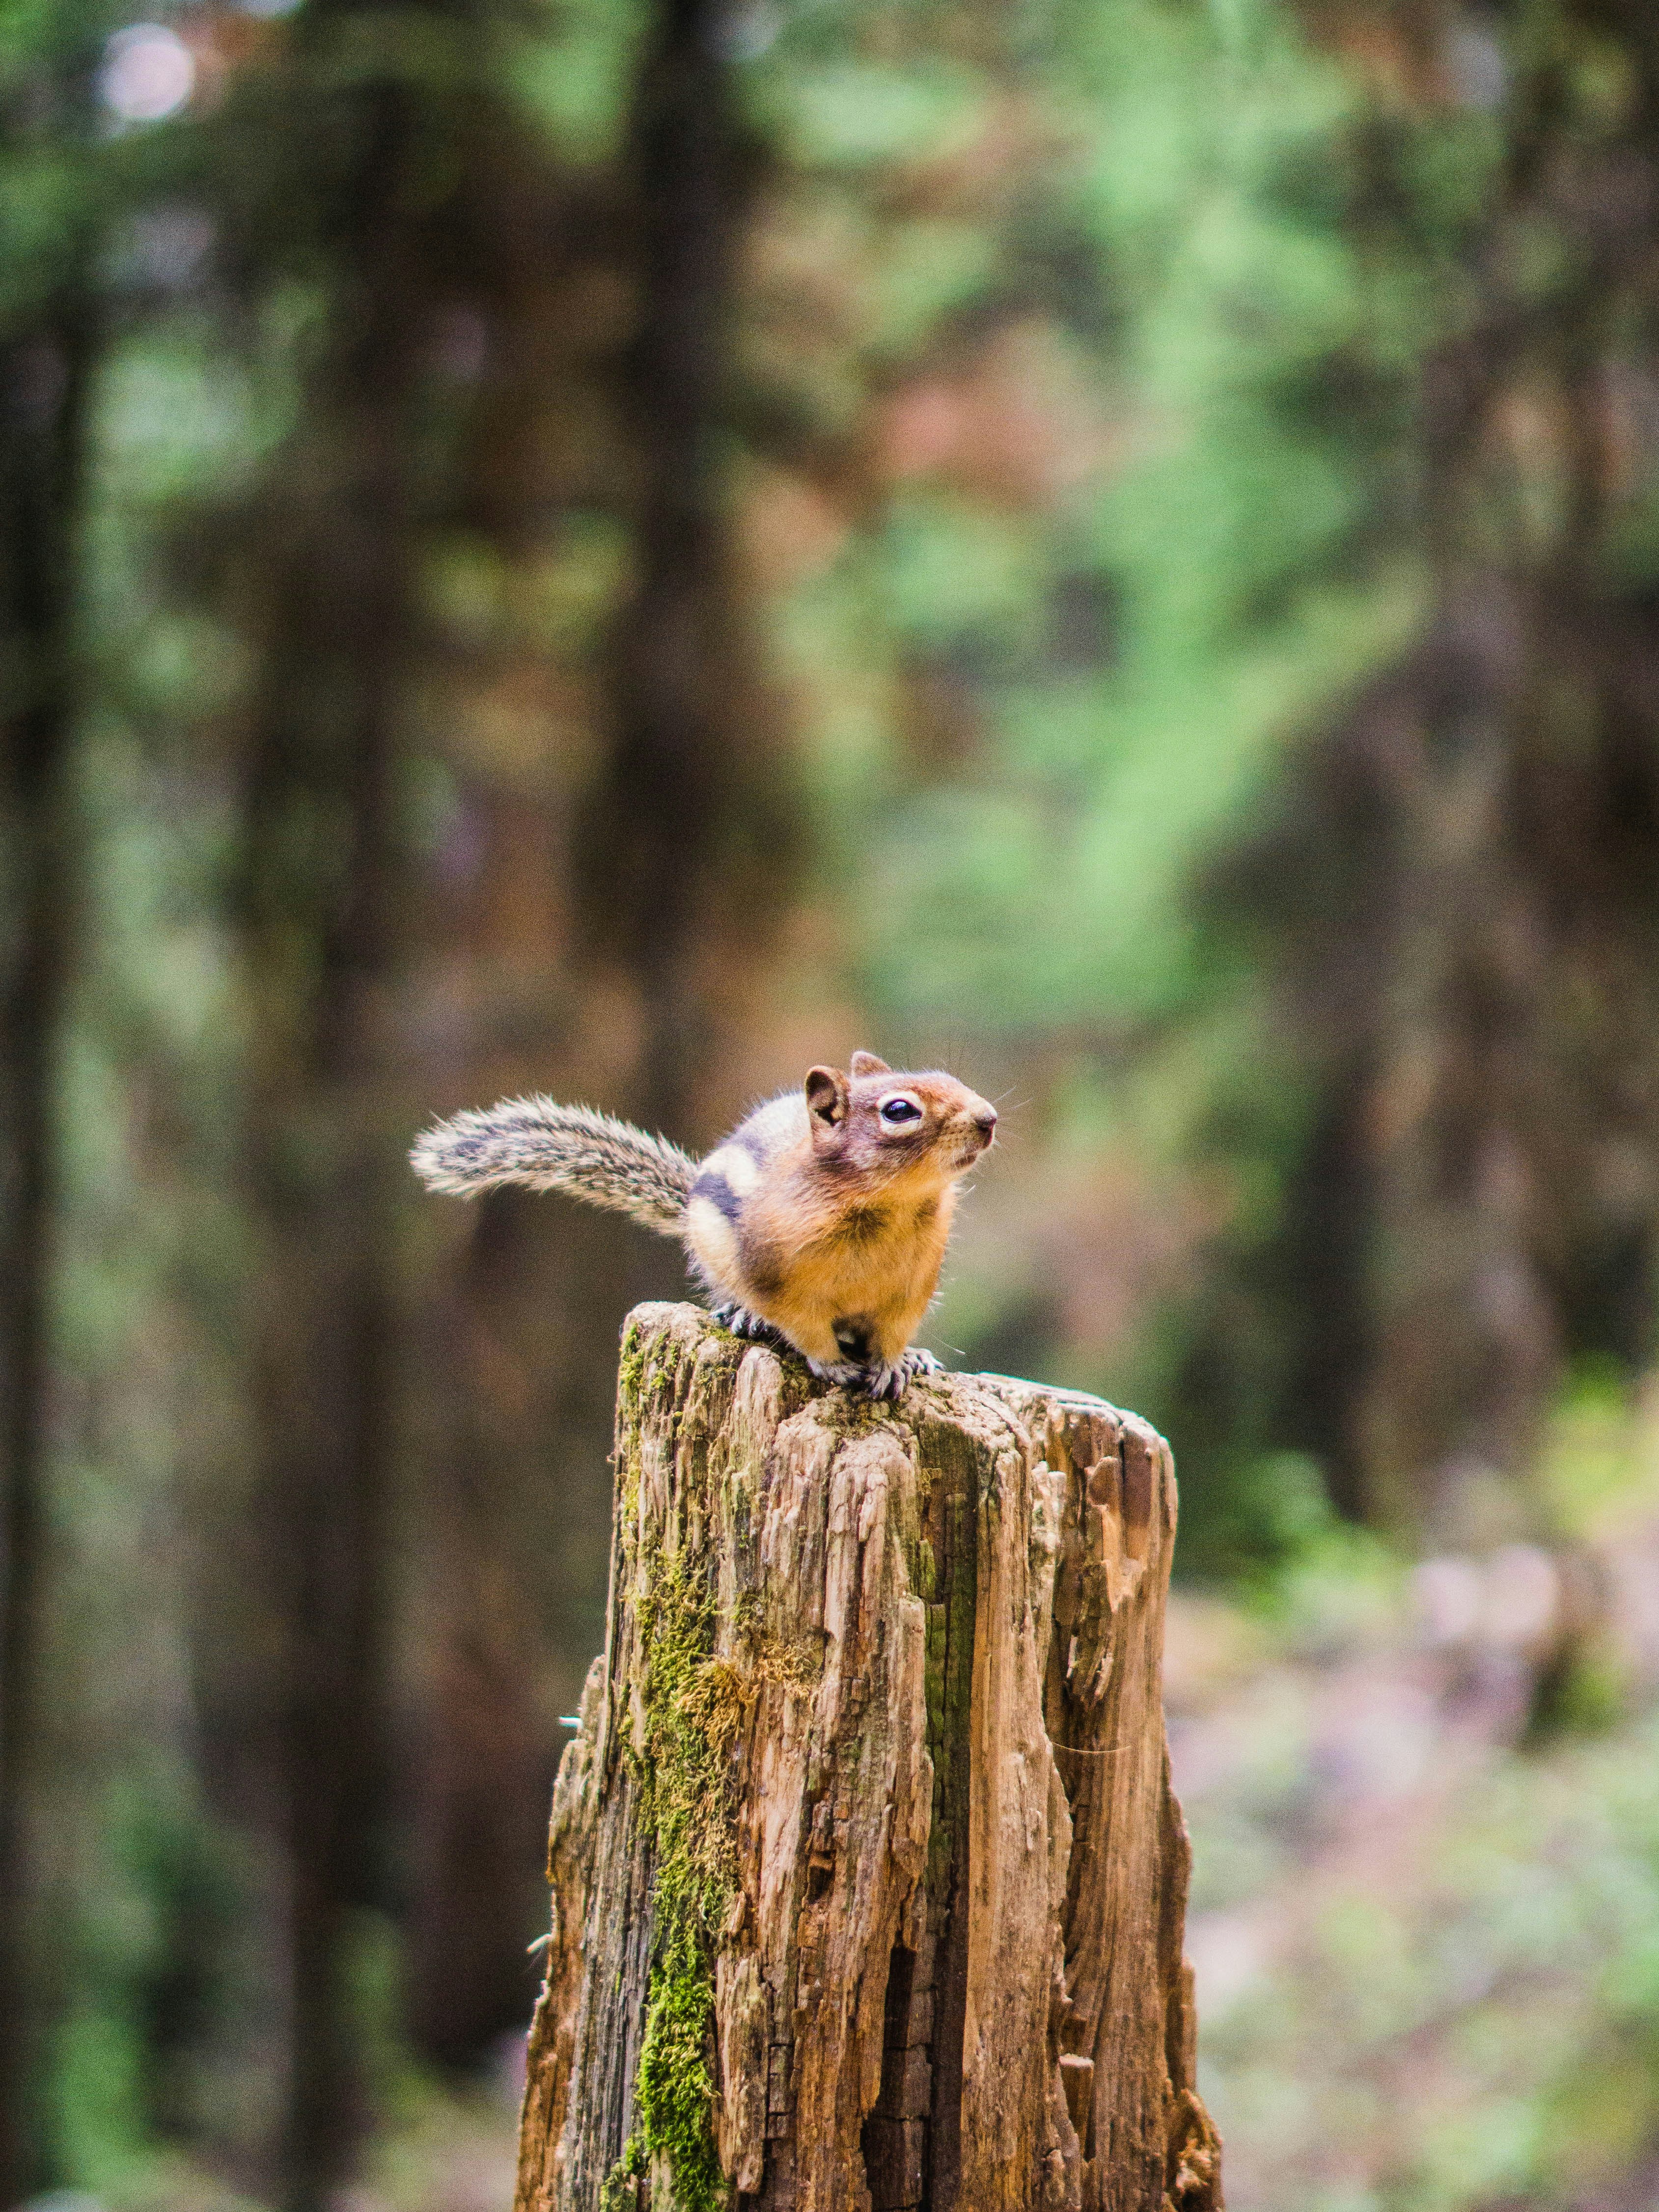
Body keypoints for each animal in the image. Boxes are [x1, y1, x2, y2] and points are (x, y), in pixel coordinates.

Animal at [409, 1051, 997, 1401]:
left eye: (951, 1079)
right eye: (899, 1111)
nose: (989, 1118)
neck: (887, 1207)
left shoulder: (910, 1290)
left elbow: (893, 1331)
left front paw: (896, 1363)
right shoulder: (776, 1277)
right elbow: (804, 1325)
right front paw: (829, 1364)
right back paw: (744, 1317)